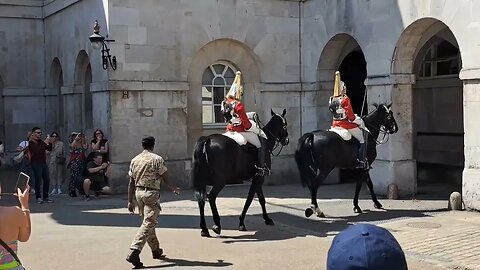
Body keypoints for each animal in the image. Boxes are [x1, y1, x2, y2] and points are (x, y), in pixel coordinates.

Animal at [191, 108, 288, 237]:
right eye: (285, 126)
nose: (286, 141)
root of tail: (207, 139)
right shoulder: (259, 178)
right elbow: (250, 199)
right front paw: (242, 222)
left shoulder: (257, 177)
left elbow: (261, 199)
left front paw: (267, 218)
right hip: (220, 181)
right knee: (211, 196)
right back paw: (217, 225)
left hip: (202, 181)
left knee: (201, 199)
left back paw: (204, 229)